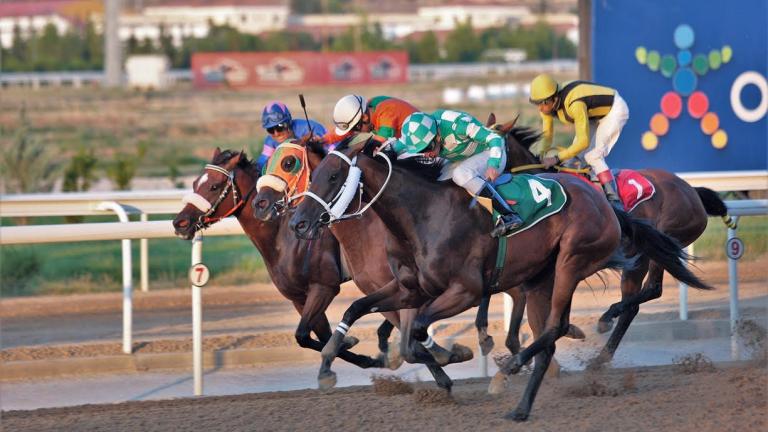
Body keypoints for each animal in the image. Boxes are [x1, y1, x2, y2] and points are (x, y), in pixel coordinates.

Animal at [172, 148, 400, 372]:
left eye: (214, 185)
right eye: (195, 183)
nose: (179, 223)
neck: (282, 238)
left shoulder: (323, 287)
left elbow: (305, 335)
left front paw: (364, 353)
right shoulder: (298, 296)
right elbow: (312, 336)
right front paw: (355, 349)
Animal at [290, 135, 712, 418]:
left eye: (333, 176)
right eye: (315, 174)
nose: (297, 223)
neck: (423, 214)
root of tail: (605, 204)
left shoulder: (465, 290)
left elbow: (418, 331)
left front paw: (452, 357)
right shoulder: (411, 287)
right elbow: (361, 312)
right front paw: (329, 365)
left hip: (572, 260)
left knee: (559, 326)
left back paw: (512, 371)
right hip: (544, 277)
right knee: (552, 332)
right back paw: (521, 406)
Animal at [492, 114, 732, 362]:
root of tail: (692, 191)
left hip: (657, 245)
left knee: (652, 289)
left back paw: (607, 320)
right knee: (636, 303)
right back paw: (602, 355)